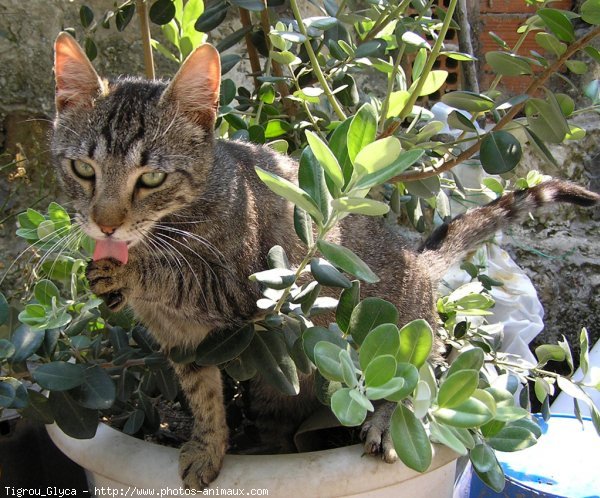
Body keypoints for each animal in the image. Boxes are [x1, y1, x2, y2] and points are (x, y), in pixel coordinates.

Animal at [52, 32, 600, 490]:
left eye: (151, 179)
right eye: (82, 169)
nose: (104, 224)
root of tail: (417, 259)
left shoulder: (247, 288)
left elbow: (177, 277)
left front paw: (127, 272)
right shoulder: (182, 343)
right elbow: (205, 400)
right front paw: (208, 449)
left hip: (400, 330)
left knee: (424, 369)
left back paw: (387, 418)